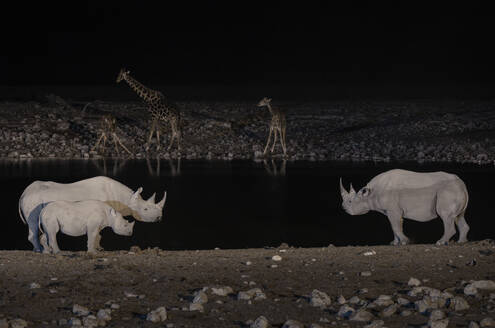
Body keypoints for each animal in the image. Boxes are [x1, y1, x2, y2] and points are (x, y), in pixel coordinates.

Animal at [340, 170, 470, 245]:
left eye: (350, 201)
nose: (344, 208)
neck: (370, 194)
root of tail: (462, 184)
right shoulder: (389, 211)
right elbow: (394, 226)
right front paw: (394, 243)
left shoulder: (393, 210)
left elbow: (396, 226)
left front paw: (405, 241)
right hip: (454, 190)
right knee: (458, 216)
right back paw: (461, 242)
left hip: (448, 191)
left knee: (446, 216)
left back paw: (440, 242)